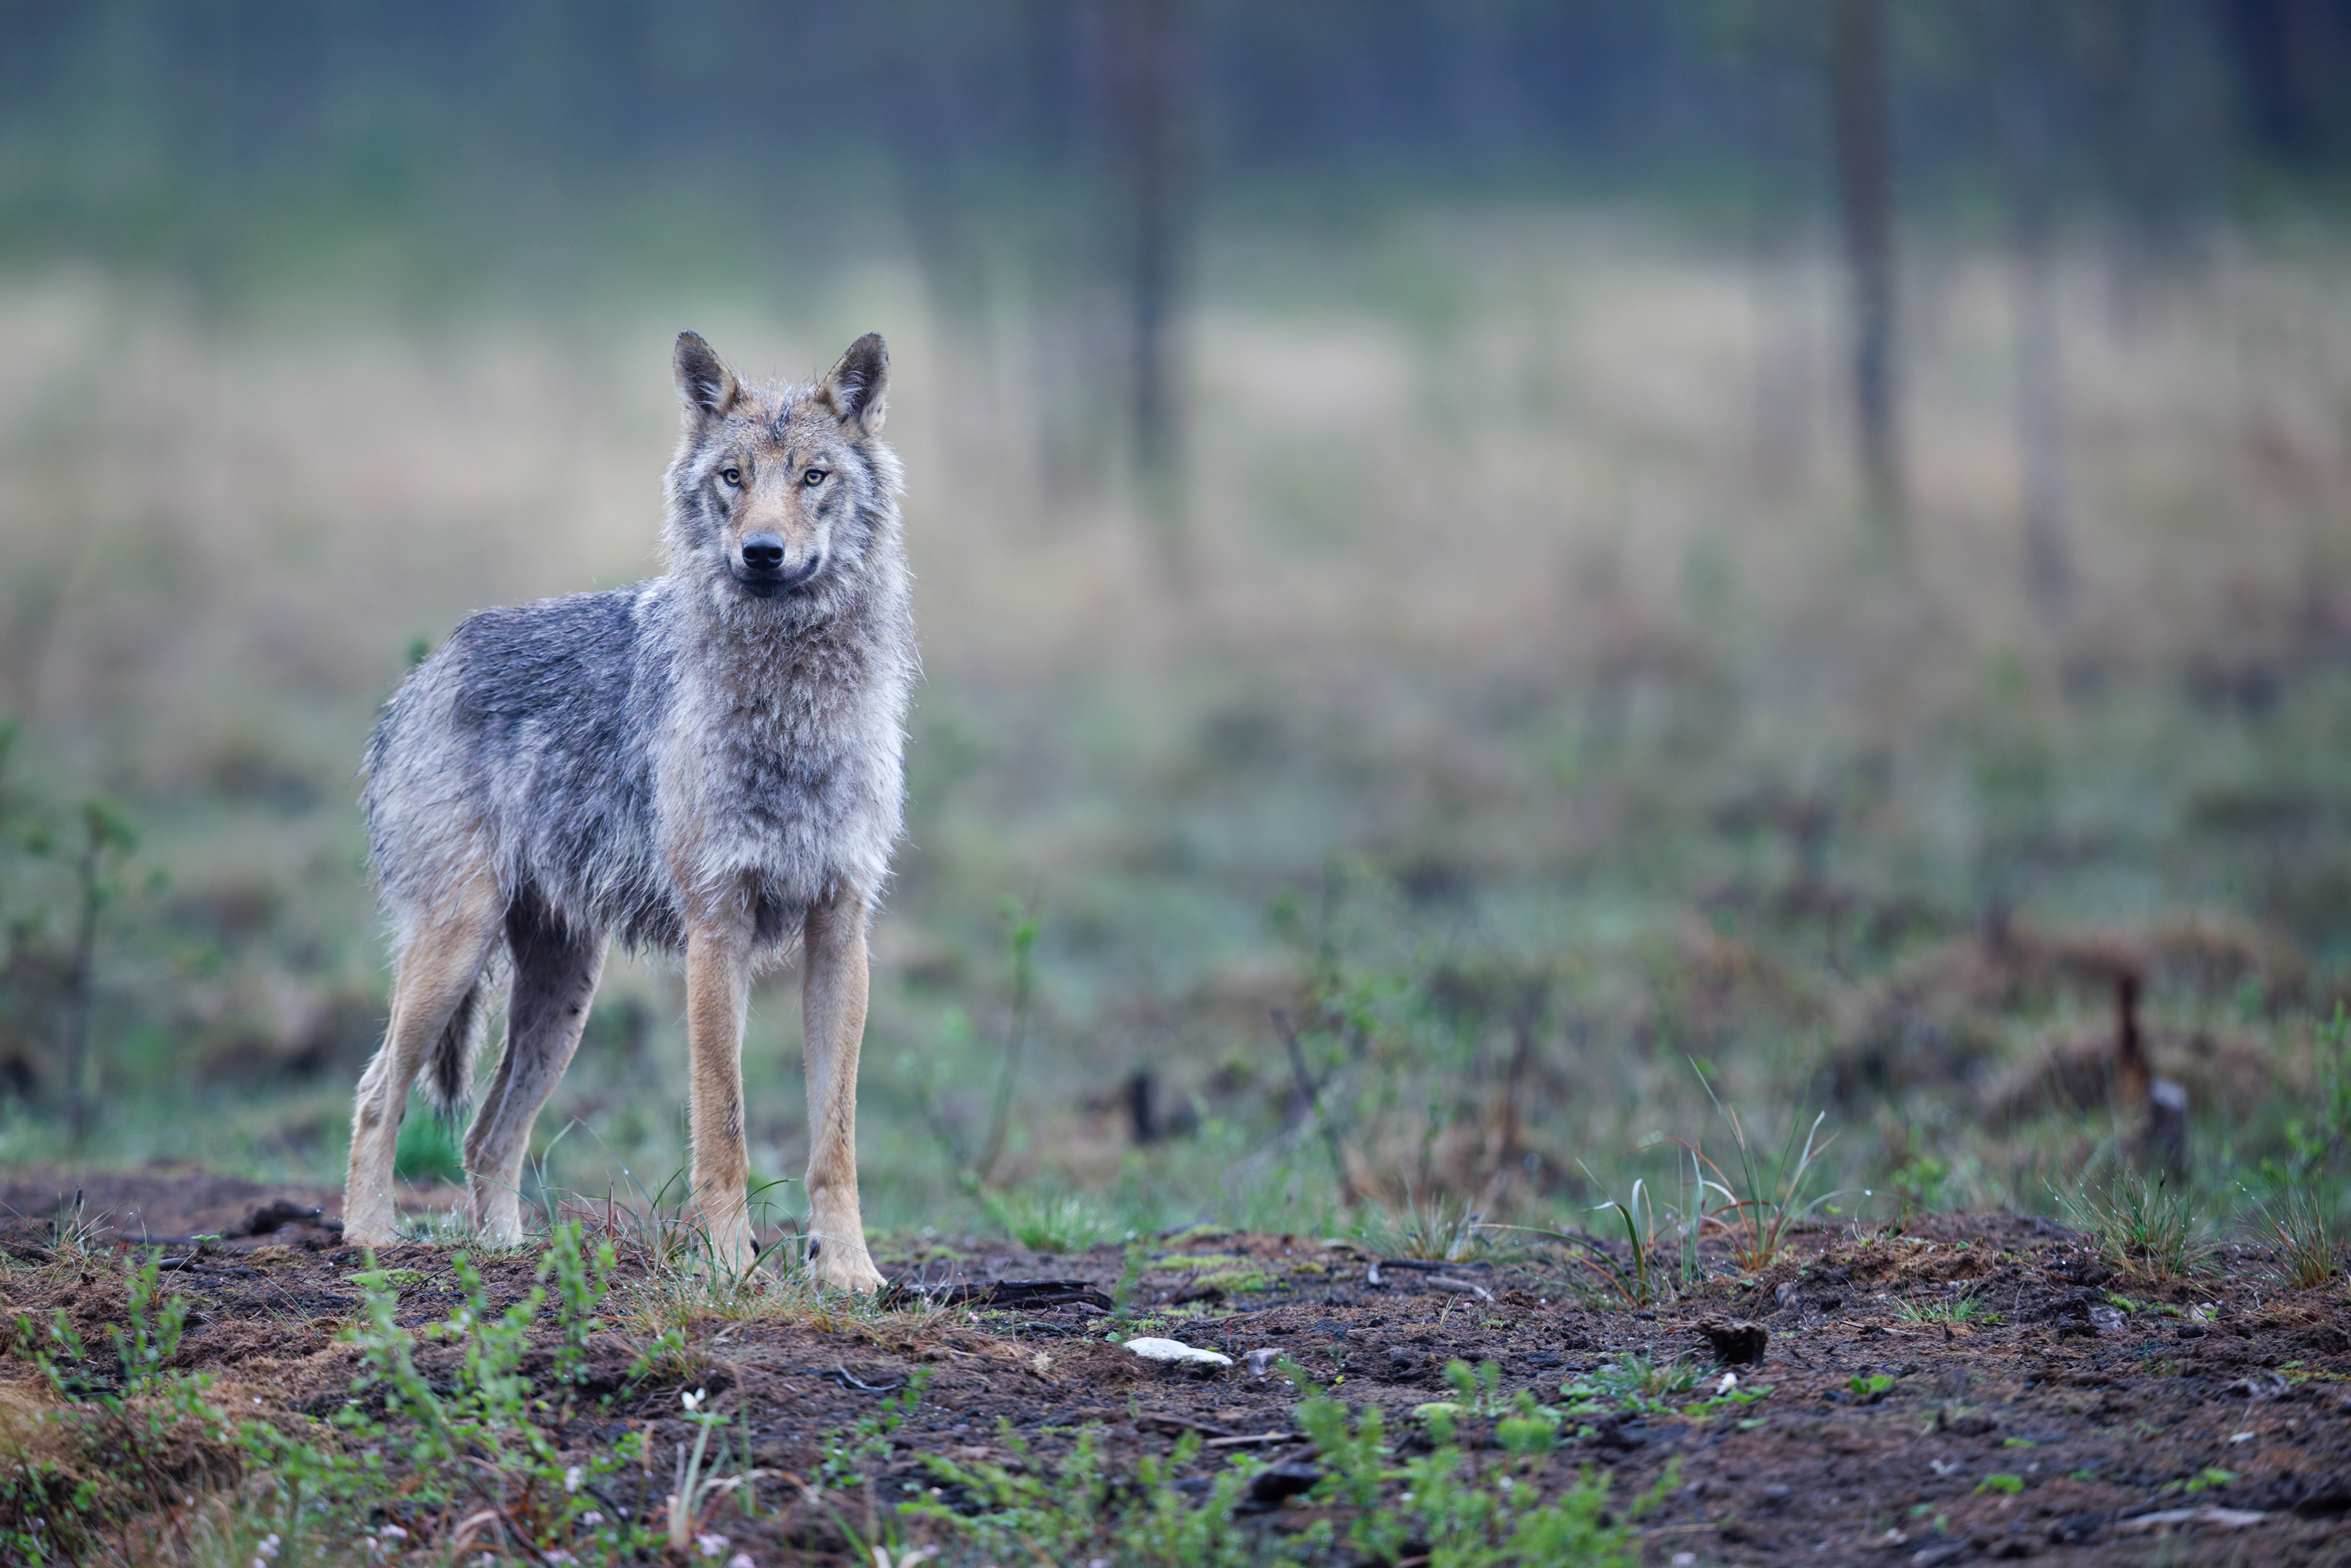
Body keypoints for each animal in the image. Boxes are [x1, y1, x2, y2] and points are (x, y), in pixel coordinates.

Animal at [341, 331, 914, 1292]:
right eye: (732, 477)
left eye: (812, 476)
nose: (763, 552)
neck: (791, 704)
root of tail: (425, 671)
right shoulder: (717, 928)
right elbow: (723, 1125)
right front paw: (730, 1269)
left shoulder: (842, 928)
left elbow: (835, 1138)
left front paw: (848, 1271)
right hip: (455, 951)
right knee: (378, 1090)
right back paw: (371, 1241)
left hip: (563, 998)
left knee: (486, 1134)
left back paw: (506, 1252)